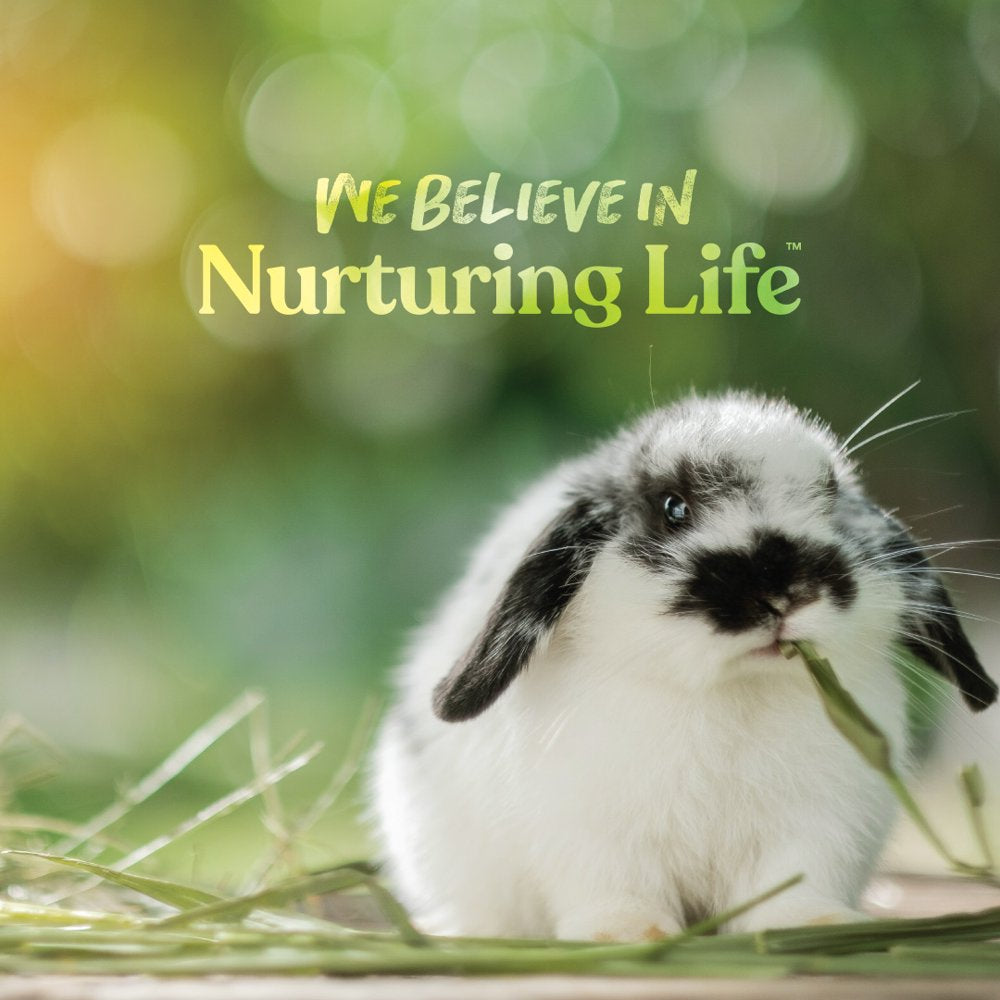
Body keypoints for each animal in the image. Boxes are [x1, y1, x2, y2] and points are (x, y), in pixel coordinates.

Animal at [369, 392, 997, 940]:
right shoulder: (591, 831)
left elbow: (796, 884)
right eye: (674, 508)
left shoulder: (816, 827)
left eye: (829, 495)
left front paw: (813, 924)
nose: (782, 593)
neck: (729, 693)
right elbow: (616, 889)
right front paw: (625, 935)